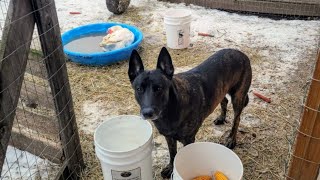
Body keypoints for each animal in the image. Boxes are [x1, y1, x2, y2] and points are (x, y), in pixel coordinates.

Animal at [129, 47, 251, 178]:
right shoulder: (169, 137)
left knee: (237, 119)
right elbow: (173, 154)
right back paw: (221, 118)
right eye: (139, 89)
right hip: (221, 91)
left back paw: (231, 139)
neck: (170, 109)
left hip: (238, 97)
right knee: (224, 100)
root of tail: (239, 52)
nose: (147, 113)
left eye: (159, 88)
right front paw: (171, 168)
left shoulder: (188, 140)